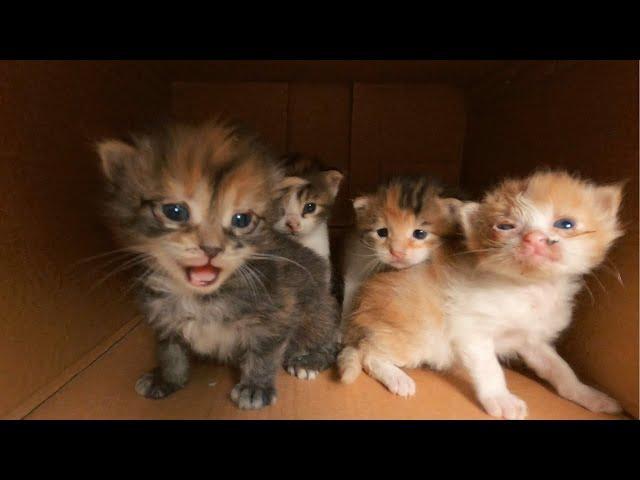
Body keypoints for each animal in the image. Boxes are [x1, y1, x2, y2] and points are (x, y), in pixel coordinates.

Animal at [96, 119, 340, 408]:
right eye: (174, 212)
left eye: (241, 219)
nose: (211, 249)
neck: (203, 299)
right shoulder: (161, 314)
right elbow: (169, 351)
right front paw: (167, 379)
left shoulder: (280, 310)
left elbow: (264, 352)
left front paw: (255, 387)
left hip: (319, 308)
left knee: (328, 335)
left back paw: (309, 360)